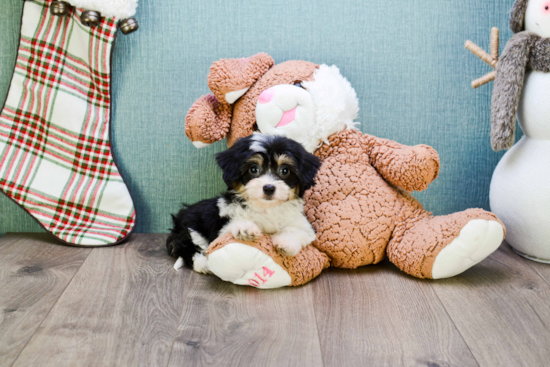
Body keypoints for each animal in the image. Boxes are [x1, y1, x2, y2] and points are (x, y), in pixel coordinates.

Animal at [168, 134, 324, 274]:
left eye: (284, 170)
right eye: (253, 169)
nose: (269, 188)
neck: (266, 208)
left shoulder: (302, 225)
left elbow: (298, 231)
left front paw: (286, 243)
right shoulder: (222, 224)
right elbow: (231, 226)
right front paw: (246, 228)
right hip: (191, 227)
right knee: (186, 248)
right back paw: (204, 263)